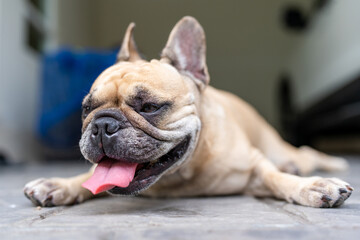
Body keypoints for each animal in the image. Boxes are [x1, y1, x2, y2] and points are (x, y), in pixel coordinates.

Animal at [23, 16, 352, 208]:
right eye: (87, 109)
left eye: (150, 107)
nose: (102, 125)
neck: (180, 177)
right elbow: (87, 178)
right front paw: (58, 184)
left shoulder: (256, 166)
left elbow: (275, 178)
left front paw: (311, 185)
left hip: (278, 148)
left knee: (306, 153)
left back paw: (328, 164)